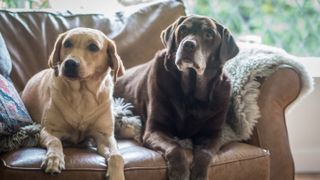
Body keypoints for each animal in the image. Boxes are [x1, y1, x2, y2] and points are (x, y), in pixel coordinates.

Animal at [21, 27, 125, 180]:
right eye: (67, 43)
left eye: (93, 47)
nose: (70, 63)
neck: (82, 94)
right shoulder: (48, 130)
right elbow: (55, 141)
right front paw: (54, 159)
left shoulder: (105, 136)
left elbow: (117, 156)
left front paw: (116, 175)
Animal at [114, 15, 239, 180]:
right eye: (183, 30)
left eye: (209, 34)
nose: (188, 45)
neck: (192, 92)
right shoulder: (155, 129)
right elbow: (175, 146)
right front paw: (179, 172)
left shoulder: (211, 134)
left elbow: (205, 153)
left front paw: (199, 175)